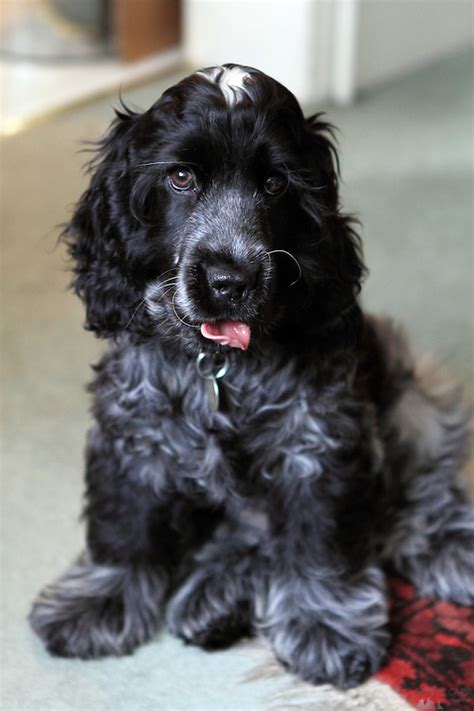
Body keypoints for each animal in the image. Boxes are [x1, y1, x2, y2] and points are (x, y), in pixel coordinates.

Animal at [30, 62, 474, 688]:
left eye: (275, 184)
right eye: (182, 177)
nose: (230, 281)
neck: (218, 366)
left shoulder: (318, 442)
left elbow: (318, 543)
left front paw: (323, 624)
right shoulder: (132, 433)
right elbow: (122, 527)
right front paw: (99, 601)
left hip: (417, 393)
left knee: (420, 495)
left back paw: (448, 548)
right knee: (247, 535)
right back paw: (213, 596)